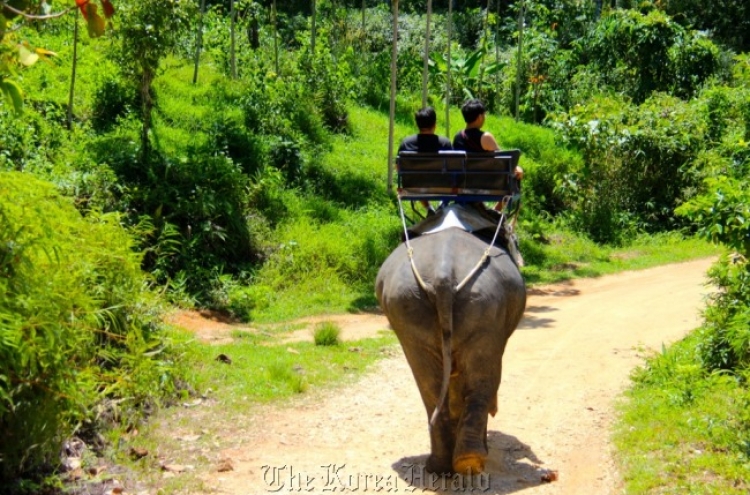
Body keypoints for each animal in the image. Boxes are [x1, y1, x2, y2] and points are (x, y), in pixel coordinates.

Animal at [376, 206, 528, 476]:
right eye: (516, 241)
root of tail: (443, 275)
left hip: (407, 304)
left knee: (429, 385)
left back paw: (441, 465)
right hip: (482, 301)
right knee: (483, 378)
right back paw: (470, 460)